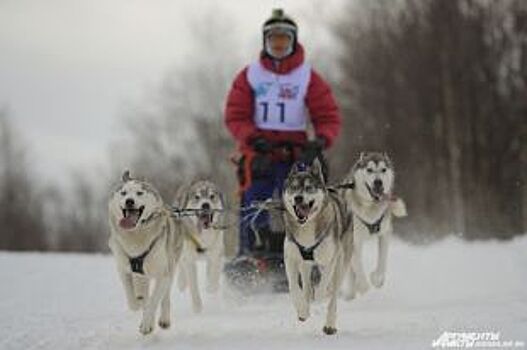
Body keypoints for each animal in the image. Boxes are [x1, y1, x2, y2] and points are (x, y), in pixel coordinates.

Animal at [107, 171, 184, 334]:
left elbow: (154, 300)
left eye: (139, 193)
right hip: (143, 276)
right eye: (123, 193)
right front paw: (138, 305)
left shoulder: (163, 273)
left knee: (165, 296)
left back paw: (163, 319)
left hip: (171, 266)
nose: (129, 201)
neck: (136, 237)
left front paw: (147, 325)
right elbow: (133, 297)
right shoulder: (123, 270)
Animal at [175, 180, 225, 312]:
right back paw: (182, 283)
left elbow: (214, 274)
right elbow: (194, 287)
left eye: (212, 196)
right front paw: (197, 308)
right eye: (197, 197)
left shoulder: (216, 254)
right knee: (181, 268)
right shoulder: (189, 260)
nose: (205, 205)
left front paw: (211, 288)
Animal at [282, 160, 352, 334]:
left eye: (309, 187)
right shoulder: (291, 258)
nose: (298, 198)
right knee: (307, 286)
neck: (306, 226)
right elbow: (294, 287)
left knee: (333, 295)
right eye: (293, 187)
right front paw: (302, 309)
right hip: (305, 265)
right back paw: (306, 307)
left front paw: (320, 296)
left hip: (341, 263)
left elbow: (323, 284)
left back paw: (329, 324)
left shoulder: (330, 260)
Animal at [342, 152, 408, 300]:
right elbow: (358, 267)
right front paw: (363, 287)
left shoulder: (385, 233)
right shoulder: (354, 241)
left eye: (383, 169)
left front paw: (377, 279)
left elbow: (382, 261)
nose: (378, 182)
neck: (370, 208)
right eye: (369, 170)